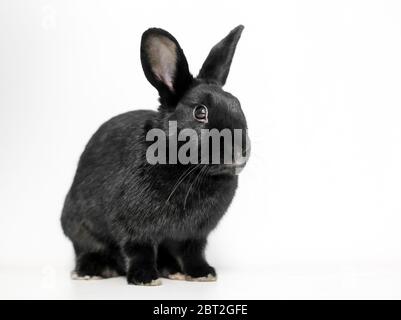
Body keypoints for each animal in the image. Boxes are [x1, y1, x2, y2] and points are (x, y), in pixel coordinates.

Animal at [61, 24, 248, 284]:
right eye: (200, 112)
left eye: (238, 104)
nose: (240, 151)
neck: (187, 169)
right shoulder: (132, 226)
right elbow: (139, 250)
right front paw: (145, 278)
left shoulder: (194, 234)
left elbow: (193, 252)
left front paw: (202, 273)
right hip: (80, 226)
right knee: (87, 248)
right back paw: (93, 271)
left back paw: (171, 270)